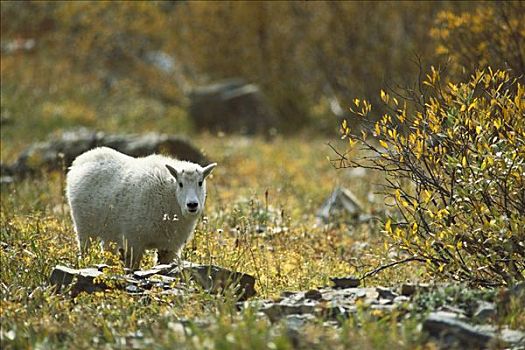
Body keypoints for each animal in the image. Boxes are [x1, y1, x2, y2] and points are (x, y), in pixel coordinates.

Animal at [66, 147, 217, 268]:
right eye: (180, 184)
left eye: (200, 182)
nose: (192, 205)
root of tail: (80, 159)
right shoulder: (134, 241)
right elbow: (132, 267)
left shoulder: (169, 247)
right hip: (83, 227)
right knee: (85, 249)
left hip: (109, 231)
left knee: (108, 250)